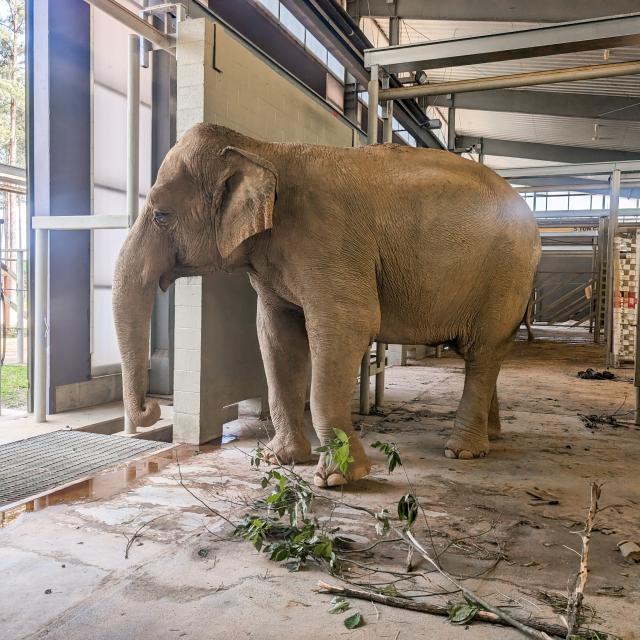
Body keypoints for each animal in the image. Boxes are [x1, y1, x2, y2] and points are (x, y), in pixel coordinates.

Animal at [112, 123, 541, 488]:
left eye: (161, 215)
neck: (262, 148)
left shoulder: (328, 241)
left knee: (481, 353)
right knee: (485, 357)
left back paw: (463, 452)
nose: (152, 409)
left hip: (506, 277)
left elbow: (349, 325)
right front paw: (279, 460)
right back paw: (491, 436)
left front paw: (336, 479)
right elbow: (276, 336)